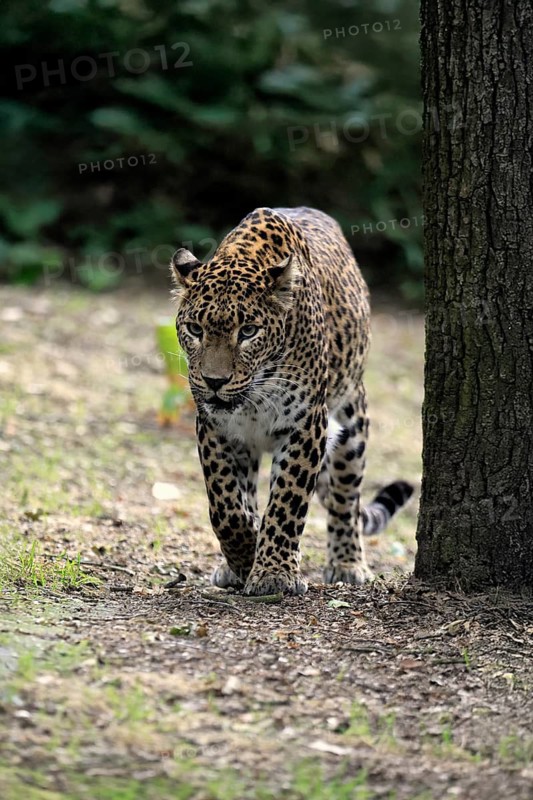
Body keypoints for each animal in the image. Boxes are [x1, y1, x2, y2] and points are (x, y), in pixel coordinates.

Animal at [171, 206, 413, 596]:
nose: (214, 382)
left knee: (346, 497)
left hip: (352, 422)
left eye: (248, 332)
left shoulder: (306, 424)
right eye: (195, 329)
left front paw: (272, 572)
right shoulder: (214, 427)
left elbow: (286, 501)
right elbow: (225, 504)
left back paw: (348, 563)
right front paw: (243, 556)